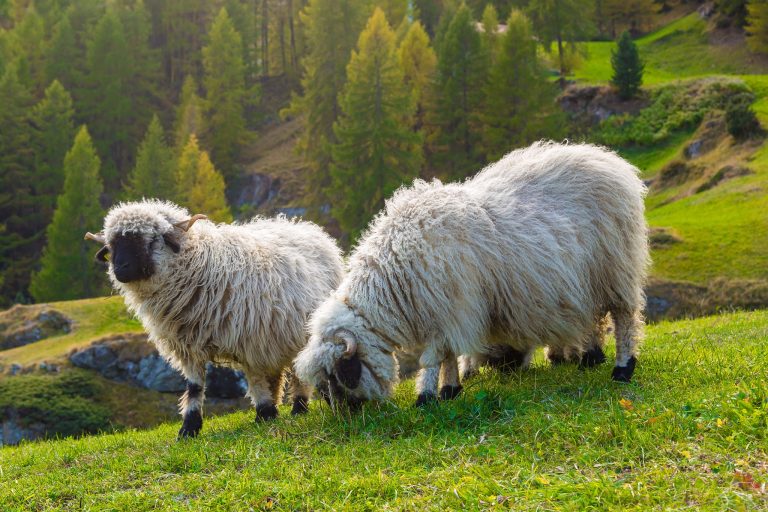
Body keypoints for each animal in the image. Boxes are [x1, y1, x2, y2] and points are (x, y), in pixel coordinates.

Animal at [85, 200, 343, 438]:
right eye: (111, 245)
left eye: (151, 240)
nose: (120, 269)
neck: (199, 264)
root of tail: (302, 226)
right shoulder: (187, 346)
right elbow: (194, 387)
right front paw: (189, 428)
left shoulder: (249, 338)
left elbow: (254, 378)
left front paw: (264, 413)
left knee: (298, 373)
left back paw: (299, 406)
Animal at [294, 141, 649, 409]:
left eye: (337, 375)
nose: (347, 416)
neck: (395, 275)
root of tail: (610, 160)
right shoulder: (447, 312)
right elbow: (450, 354)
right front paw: (449, 389)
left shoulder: (453, 306)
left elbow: (433, 356)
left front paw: (425, 397)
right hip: (588, 280)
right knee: (594, 316)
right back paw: (591, 358)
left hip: (616, 266)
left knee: (624, 317)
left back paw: (622, 368)